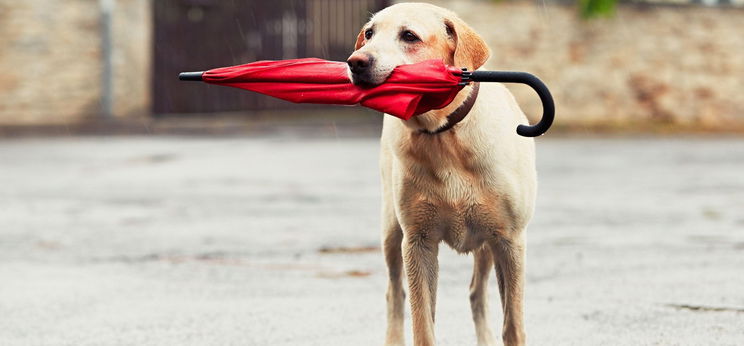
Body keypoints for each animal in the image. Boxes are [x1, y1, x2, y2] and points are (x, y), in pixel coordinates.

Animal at [348, 2, 536, 346]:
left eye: (409, 36)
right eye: (369, 34)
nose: (356, 62)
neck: (444, 135)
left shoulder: (510, 240)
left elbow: (513, 324)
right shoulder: (418, 243)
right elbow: (423, 324)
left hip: (487, 244)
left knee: (477, 293)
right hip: (391, 230)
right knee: (394, 293)